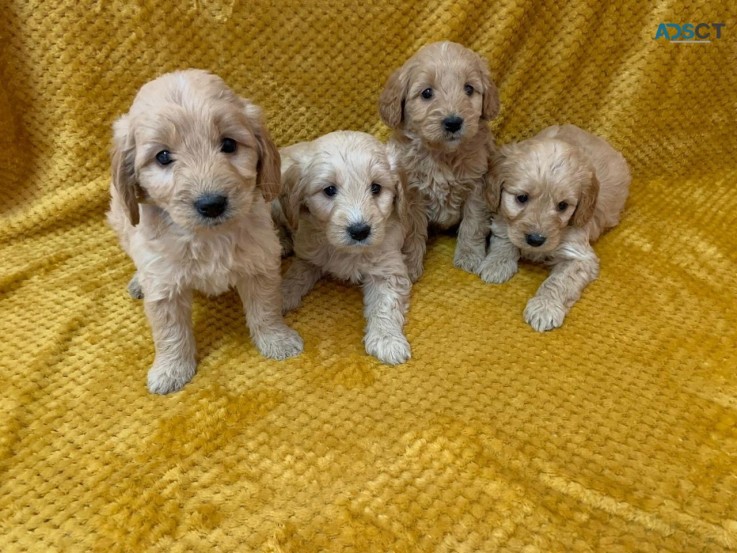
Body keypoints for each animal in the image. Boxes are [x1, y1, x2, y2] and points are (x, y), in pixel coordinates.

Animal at [107, 69, 302, 394]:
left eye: (229, 144)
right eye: (162, 157)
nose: (211, 204)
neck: (208, 237)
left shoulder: (259, 265)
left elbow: (266, 307)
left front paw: (277, 340)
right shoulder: (164, 285)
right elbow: (170, 331)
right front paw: (171, 369)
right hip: (120, 218)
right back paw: (137, 281)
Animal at [274, 131, 416, 364]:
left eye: (376, 187)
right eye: (329, 190)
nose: (359, 231)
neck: (348, 251)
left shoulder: (388, 268)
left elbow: (386, 305)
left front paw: (387, 339)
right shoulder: (308, 254)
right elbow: (295, 276)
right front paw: (281, 295)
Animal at [380, 41, 500, 278]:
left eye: (469, 89)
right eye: (427, 93)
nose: (453, 122)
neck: (443, 155)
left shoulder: (477, 187)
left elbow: (473, 224)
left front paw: (469, 256)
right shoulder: (413, 194)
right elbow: (412, 232)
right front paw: (410, 264)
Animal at [480, 124, 628, 332]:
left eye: (563, 206)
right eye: (521, 198)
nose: (535, 240)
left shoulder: (579, 256)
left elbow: (559, 282)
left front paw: (545, 307)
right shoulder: (503, 218)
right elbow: (504, 239)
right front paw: (496, 264)